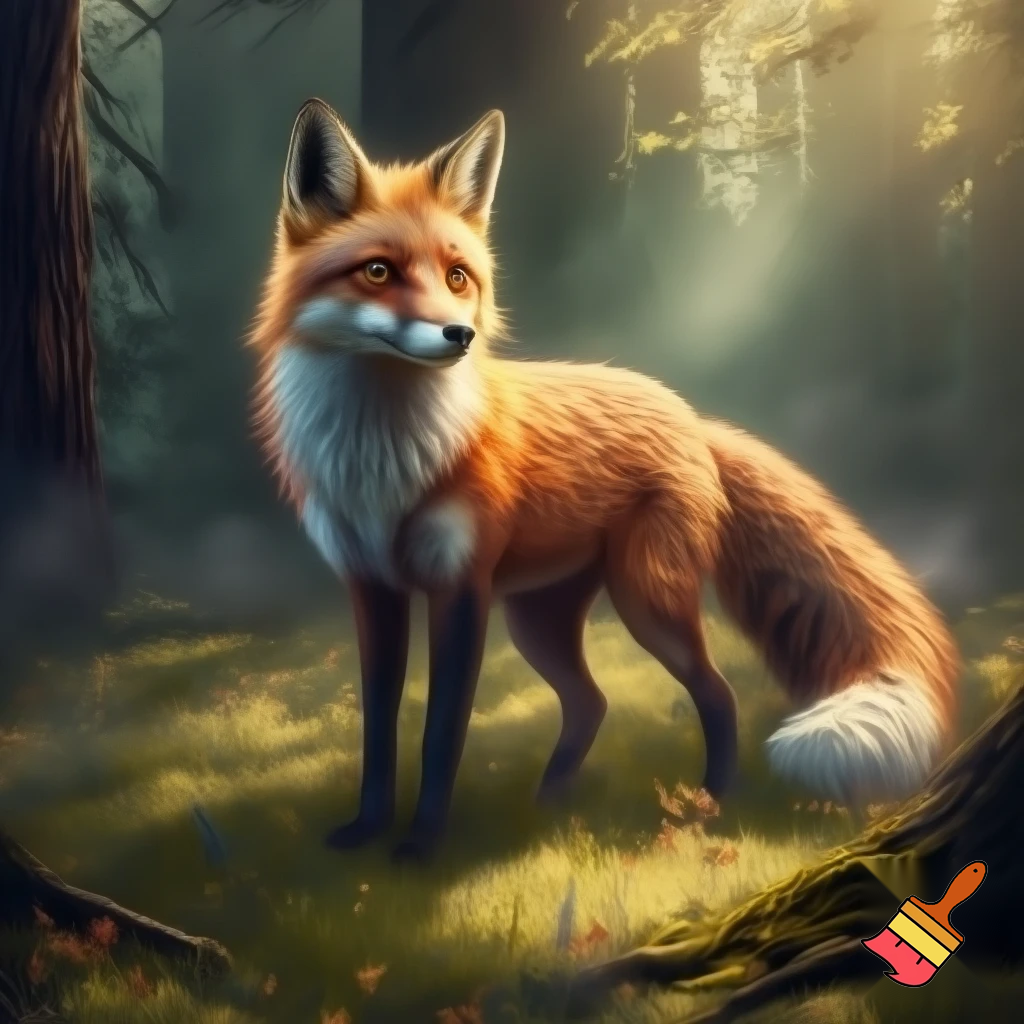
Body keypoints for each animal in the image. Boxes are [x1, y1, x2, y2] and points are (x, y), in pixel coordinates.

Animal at [248, 98, 960, 861]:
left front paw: (422, 845)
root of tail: (688, 414)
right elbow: (378, 729)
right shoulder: (372, 588)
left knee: (717, 693)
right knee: (592, 702)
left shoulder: (460, 588)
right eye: (378, 272)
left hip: (646, 599)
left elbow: (441, 735)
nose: (457, 337)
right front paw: (367, 831)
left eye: (458, 277)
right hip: (539, 619)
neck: (382, 456)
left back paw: (714, 799)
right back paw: (552, 801)